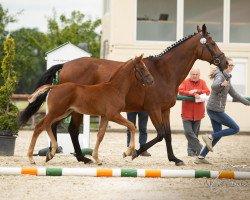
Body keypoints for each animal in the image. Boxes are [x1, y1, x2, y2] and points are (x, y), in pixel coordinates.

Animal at [20, 24, 229, 166]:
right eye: (212, 43)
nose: (225, 62)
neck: (164, 72)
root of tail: (65, 64)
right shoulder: (153, 109)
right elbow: (160, 134)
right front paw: (133, 152)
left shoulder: (165, 110)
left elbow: (168, 135)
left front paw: (174, 159)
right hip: (73, 109)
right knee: (68, 129)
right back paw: (79, 157)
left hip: (69, 109)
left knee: (55, 126)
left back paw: (56, 154)